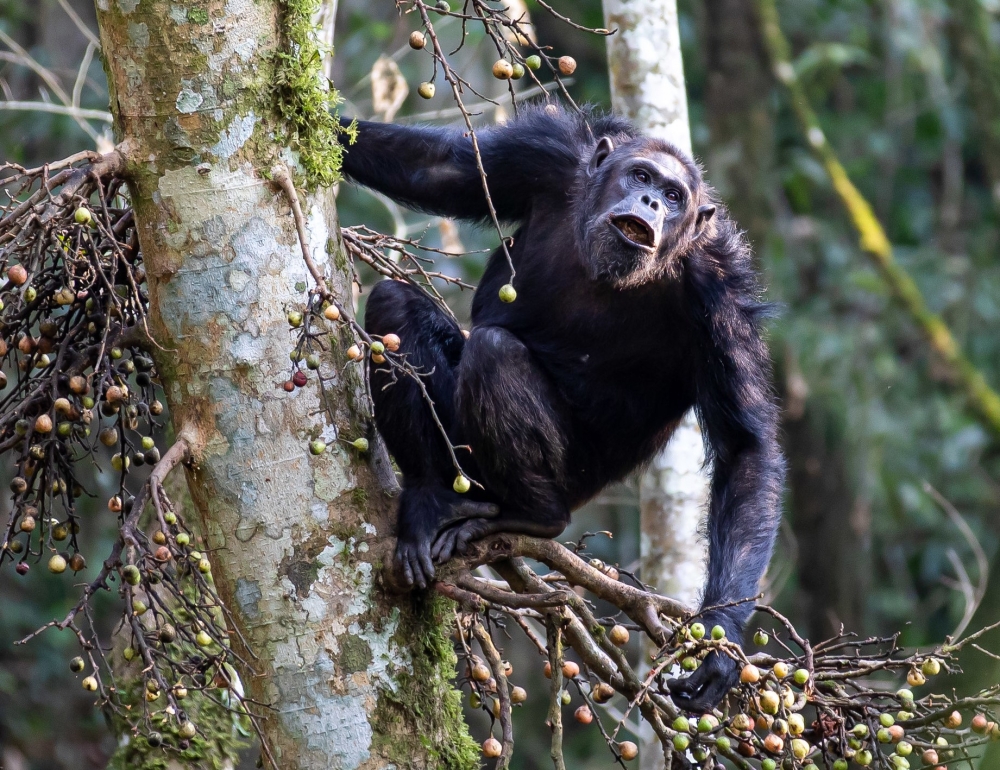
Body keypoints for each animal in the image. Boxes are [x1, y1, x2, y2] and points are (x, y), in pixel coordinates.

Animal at [340, 103, 784, 708]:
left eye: (674, 196)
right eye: (641, 176)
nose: (650, 202)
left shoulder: (720, 289)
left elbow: (744, 446)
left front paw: (719, 645)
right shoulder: (546, 155)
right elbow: (439, 168)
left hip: (563, 478)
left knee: (494, 353)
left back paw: (534, 515)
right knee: (395, 304)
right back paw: (430, 500)